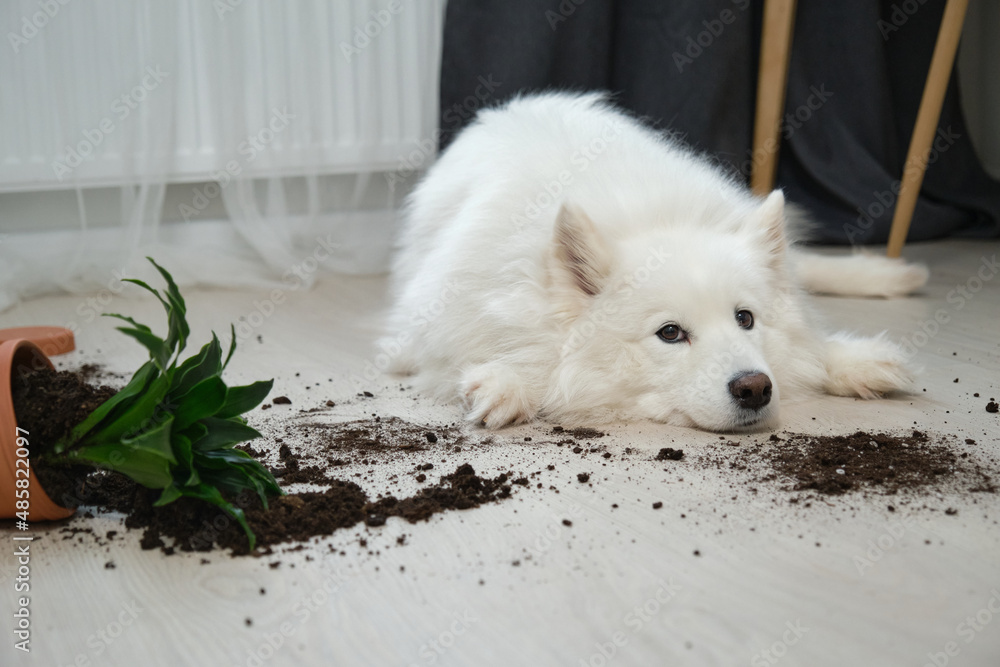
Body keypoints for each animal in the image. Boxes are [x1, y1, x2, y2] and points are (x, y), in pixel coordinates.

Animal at [382, 94, 928, 434]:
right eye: (670, 333)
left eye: (745, 319)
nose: (755, 388)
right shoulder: (426, 329)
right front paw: (508, 384)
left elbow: (809, 342)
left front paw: (853, 360)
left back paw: (892, 275)